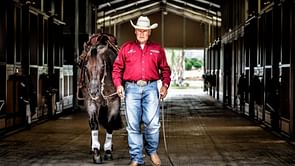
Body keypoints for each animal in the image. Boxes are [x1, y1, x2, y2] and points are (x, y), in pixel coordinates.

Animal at [78, 33, 123, 164]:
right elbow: (93, 123)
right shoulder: (90, 101)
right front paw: (96, 152)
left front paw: (108, 151)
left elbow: (110, 123)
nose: (94, 91)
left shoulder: (114, 101)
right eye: (85, 66)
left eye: (102, 66)